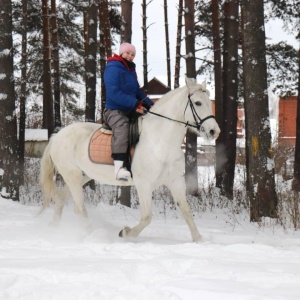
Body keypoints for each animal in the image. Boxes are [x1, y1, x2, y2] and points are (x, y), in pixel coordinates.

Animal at [39, 77, 220, 241]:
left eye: (208, 102)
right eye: (198, 103)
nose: (214, 131)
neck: (160, 141)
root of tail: (58, 135)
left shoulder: (175, 181)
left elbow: (186, 211)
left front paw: (198, 239)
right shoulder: (144, 184)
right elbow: (147, 217)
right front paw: (125, 233)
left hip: (81, 176)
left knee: (61, 199)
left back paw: (55, 227)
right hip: (72, 176)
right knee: (79, 207)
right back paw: (92, 233)